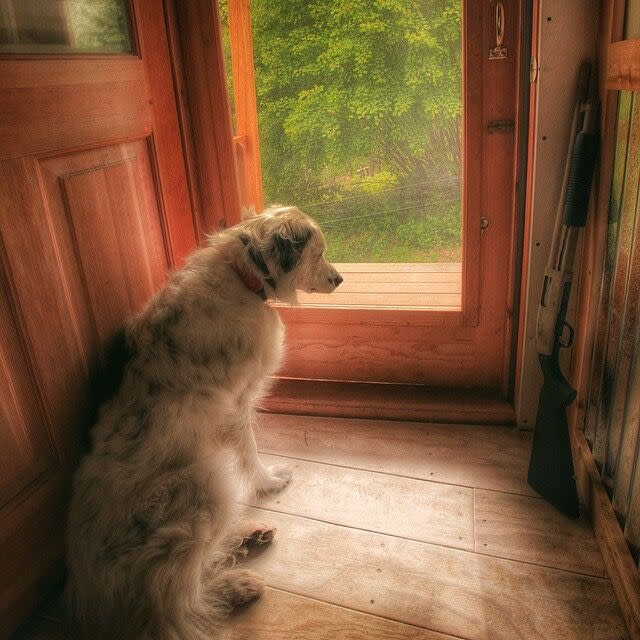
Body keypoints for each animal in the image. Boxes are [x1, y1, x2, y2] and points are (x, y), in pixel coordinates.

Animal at [65, 206, 342, 640]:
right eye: (318, 254)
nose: (339, 279)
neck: (242, 275)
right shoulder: (237, 405)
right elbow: (250, 452)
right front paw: (269, 481)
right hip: (203, 489)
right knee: (175, 606)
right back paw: (234, 586)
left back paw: (246, 537)